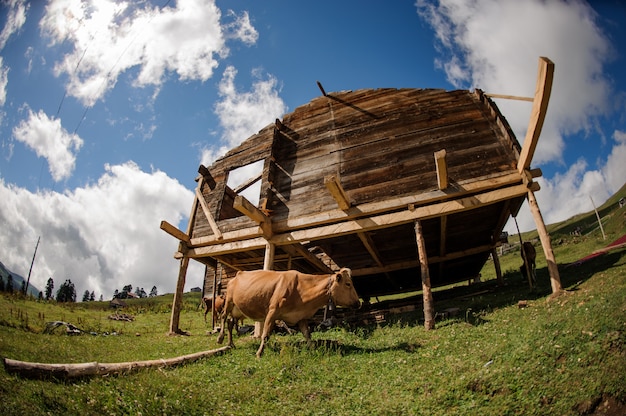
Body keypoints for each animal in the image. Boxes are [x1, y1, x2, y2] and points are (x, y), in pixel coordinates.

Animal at [216, 270, 358, 358]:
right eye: (348, 284)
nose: (358, 303)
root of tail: (237, 275)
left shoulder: (301, 316)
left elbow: (307, 334)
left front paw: (313, 348)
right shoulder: (272, 311)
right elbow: (265, 335)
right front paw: (259, 353)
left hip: (238, 310)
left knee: (230, 322)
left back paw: (231, 344)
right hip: (229, 301)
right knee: (223, 317)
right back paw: (220, 338)